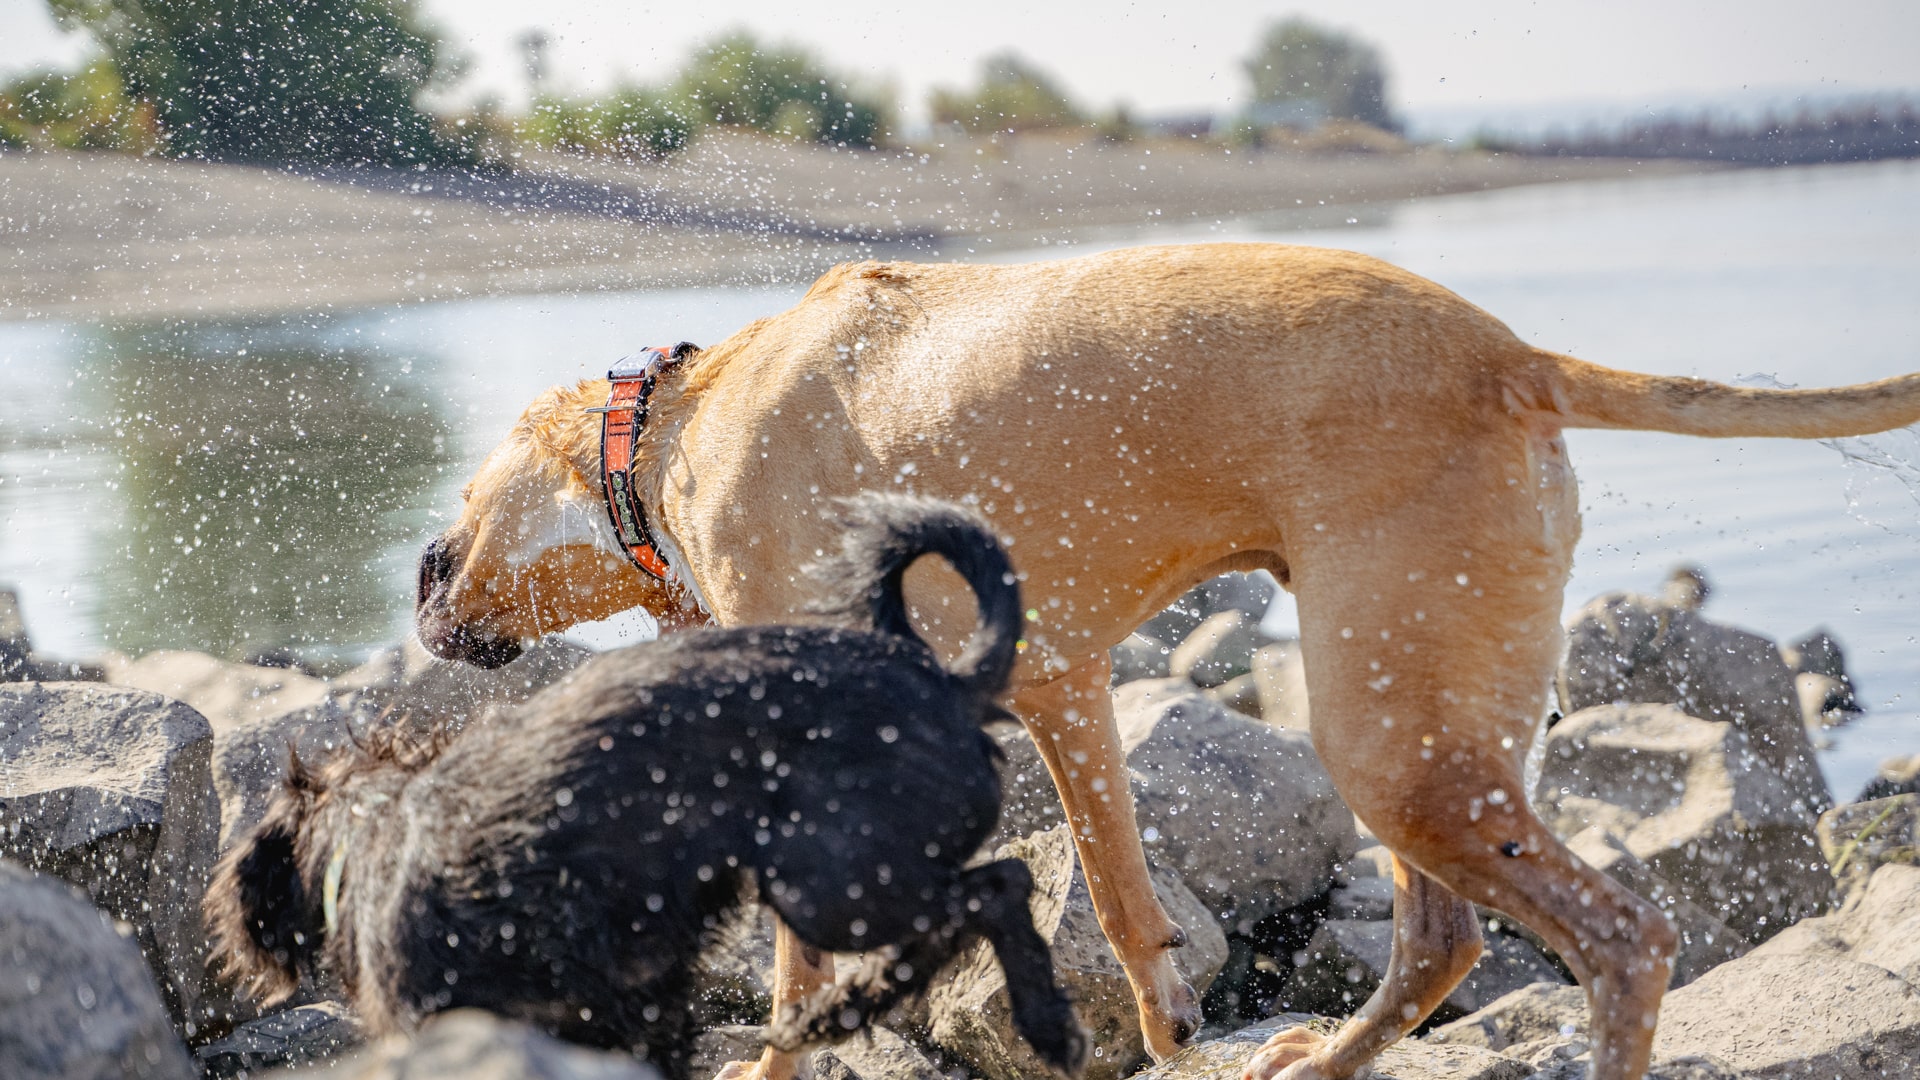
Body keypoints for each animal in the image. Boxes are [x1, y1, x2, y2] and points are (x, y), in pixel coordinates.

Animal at [206, 491, 1098, 1068]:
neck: (377, 827)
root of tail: (944, 682)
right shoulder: (639, 1010)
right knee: (958, 914)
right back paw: (847, 1015)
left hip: (830, 880)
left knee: (999, 887)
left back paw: (1038, 1024)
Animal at [412, 244, 1912, 1076]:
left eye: (466, 496)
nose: (418, 588)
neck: (673, 427)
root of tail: (1516, 355)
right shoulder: (1065, 692)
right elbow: (1129, 913)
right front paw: (1173, 1028)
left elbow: (800, 972)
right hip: (1410, 724)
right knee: (1442, 941)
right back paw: (1316, 1064)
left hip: (1395, 744)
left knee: (1620, 943)